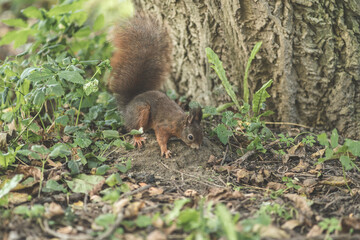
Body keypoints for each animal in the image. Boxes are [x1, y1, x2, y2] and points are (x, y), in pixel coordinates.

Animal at [107, 14, 202, 158]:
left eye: (202, 133)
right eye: (190, 137)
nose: (198, 147)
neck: (179, 123)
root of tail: (127, 106)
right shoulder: (163, 126)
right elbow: (161, 138)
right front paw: (165, 150)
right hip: (141, 110)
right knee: (134, 128)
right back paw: (138, 138)